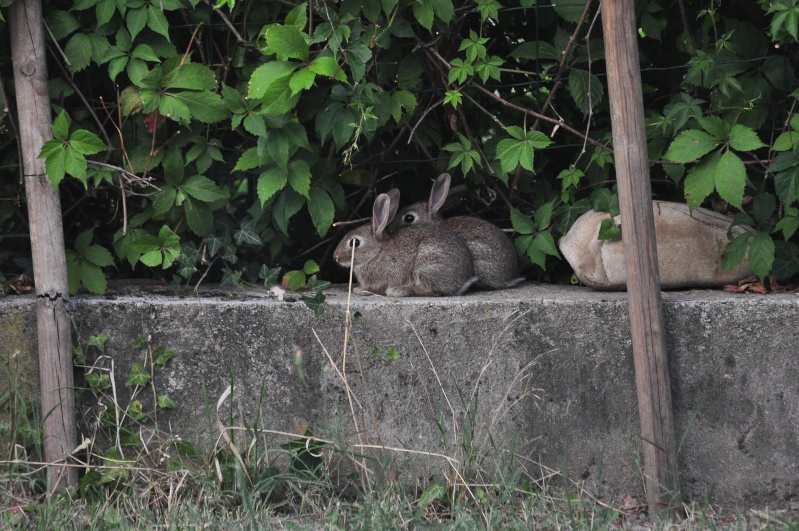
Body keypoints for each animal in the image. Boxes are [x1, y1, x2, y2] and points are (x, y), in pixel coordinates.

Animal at [334, 190, 478, 298]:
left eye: (355, 242)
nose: (335, 257)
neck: (376, 253)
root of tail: (461, 282)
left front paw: (360, 290)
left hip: (426, 265)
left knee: (433, 291)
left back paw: (398, 291)